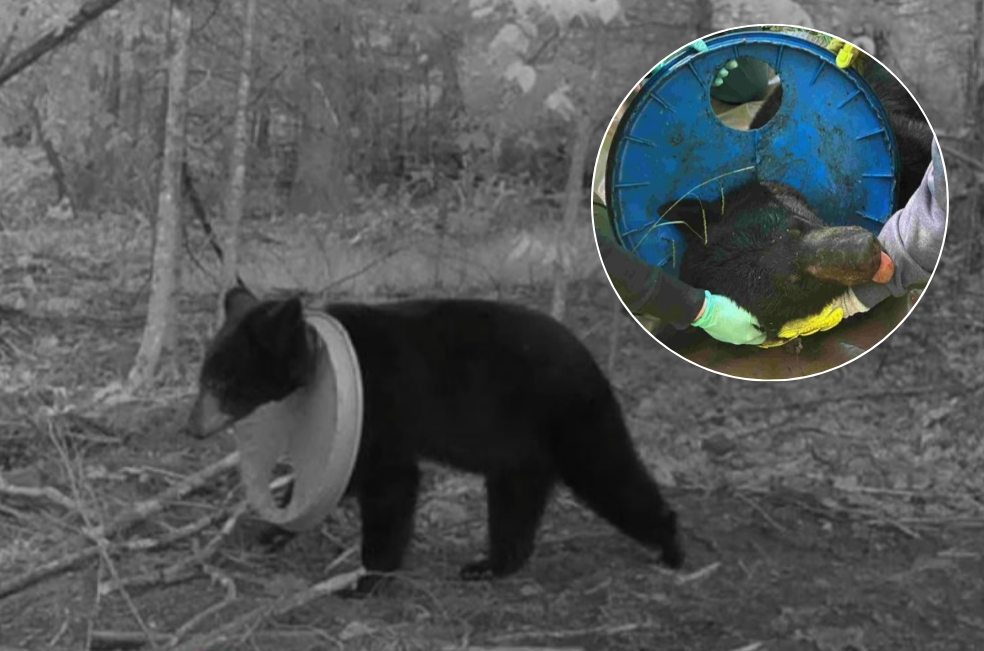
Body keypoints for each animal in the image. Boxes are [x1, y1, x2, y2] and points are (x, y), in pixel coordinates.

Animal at [187, 287, 683, 596]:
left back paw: (670, 548)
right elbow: (338, 478)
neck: (317, 356)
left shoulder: (380, 406)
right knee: (515, 501)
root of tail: (589, 358)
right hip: (519, 447)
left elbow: (390, 485)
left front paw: (365, 579)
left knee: (609, 473)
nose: (192, 427)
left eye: (222, 381)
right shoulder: (353, 428)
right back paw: (488, 565)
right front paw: (273, 531)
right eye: (204, 376)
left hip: (570, 417)